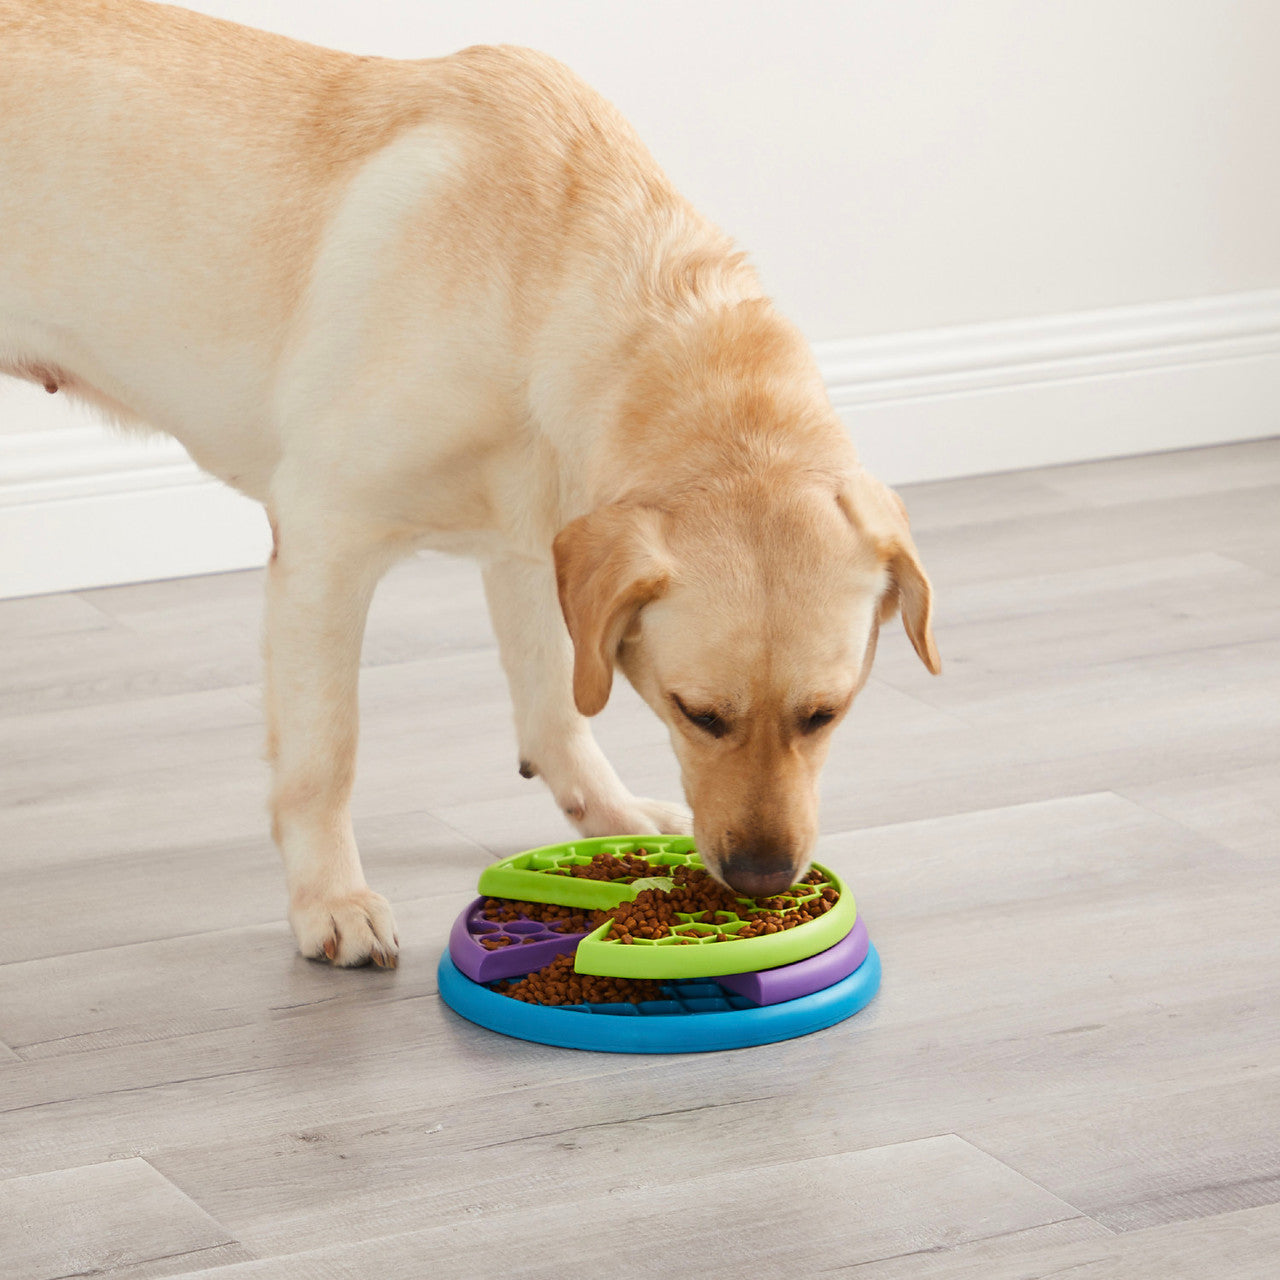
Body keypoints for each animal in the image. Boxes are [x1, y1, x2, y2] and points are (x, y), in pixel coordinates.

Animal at [0, 0, 942, 962]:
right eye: (697, 713)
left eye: (825, 714)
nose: (760, 879)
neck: (551, 288)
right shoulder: (324, 539)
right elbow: (325, 754)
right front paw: (330, 899)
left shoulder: (539, 543)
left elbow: (558, 700)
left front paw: (606, 816)